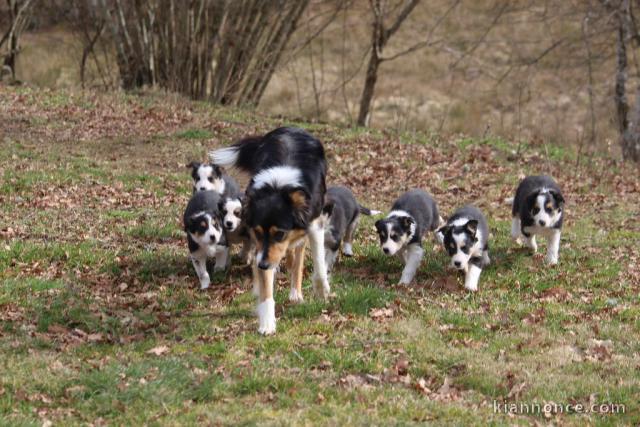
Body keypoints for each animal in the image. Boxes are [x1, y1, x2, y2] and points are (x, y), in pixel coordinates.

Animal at [210, 127, 330, 338]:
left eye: (279, 233)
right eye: (259, 233)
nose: (263, 265)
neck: (278, 186)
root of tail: (290, 127)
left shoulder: (313, 222)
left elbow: (318, 262)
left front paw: (322, 290)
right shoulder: (261, 246)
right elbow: (267, 288)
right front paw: (267, 323)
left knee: (297, 258)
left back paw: (295, 292)